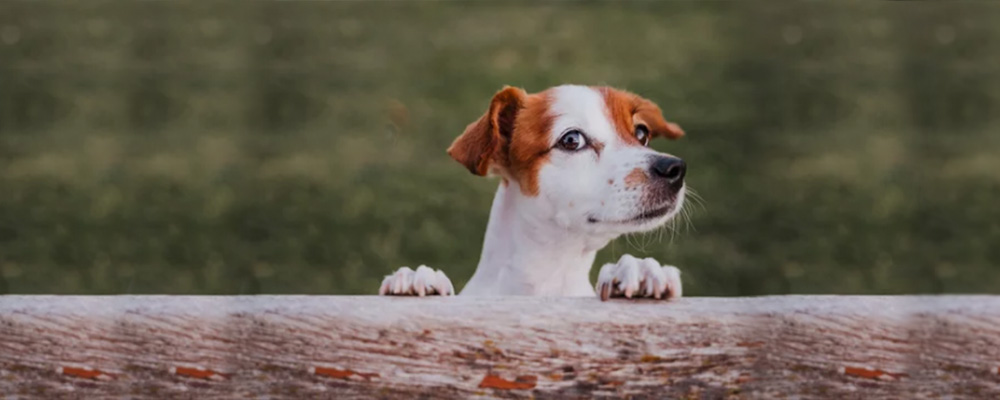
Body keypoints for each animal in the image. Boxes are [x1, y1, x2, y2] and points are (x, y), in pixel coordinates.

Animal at [378, 86, 684, 302]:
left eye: (642, 133)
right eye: (572, 140)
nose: (675, 168)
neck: (548, 274)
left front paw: (639, 270)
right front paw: (417, 279)